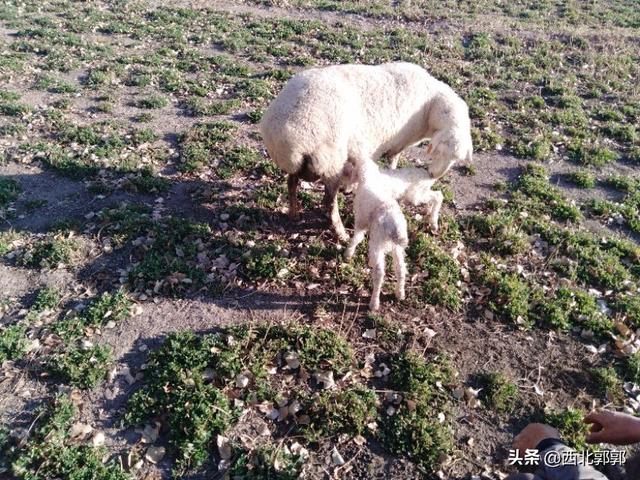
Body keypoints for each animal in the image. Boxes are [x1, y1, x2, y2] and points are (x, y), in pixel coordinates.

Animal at [258, 61, 472, 240]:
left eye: (456, 159)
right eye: (439, 152)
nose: (434, 175)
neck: (431, 104)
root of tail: (286, 138)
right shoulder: (389, 143)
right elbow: (391, 160)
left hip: (312, 163)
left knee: (291, 183)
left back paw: (294, 213)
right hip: (331, 160)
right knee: (328, 203)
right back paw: (341, 233)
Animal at [342, 161, 408, 312]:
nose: (345, 191)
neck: (369, 177)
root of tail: (394, 226)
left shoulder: (360, 221)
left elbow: (357, 237)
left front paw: (348, 253)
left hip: (378, 240)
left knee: (379, 273)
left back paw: (374, 303)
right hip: (396, 246)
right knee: (400, 268)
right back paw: (400, 293)